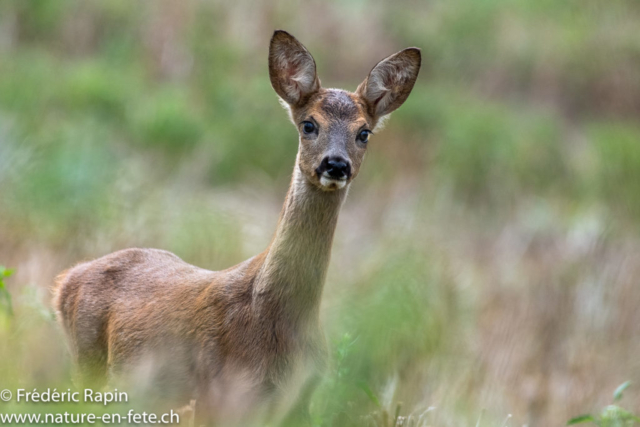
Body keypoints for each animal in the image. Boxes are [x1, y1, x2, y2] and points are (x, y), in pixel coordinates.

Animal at [53, 29, 420, 424]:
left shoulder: (300, 400)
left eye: (364, 132)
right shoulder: (224, 394)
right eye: (309, 124)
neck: (279, 320)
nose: (335, 164)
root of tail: (66, 281)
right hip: (89, 363)